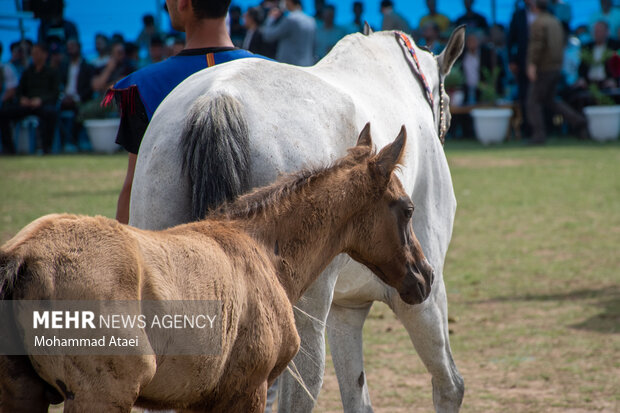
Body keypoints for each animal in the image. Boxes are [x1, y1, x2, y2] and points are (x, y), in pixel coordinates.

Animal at [132, 27, 464, 410]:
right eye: (408, 210)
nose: (425, 274)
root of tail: (218, 98)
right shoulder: (422, 299)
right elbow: (450, 384)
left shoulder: (348, 308)